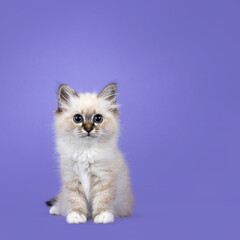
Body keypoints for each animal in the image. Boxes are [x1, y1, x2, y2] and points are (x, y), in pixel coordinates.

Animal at [46, 82, 134, 223]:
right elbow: (75, 200)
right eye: (77, 118)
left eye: (98, 119)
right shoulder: (72, 180)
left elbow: (102, 199)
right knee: (61, 201)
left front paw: (102, 216)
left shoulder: (104, 179)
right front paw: (77, 216)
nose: (88, 129)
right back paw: (56, 209)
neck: (86, 151)